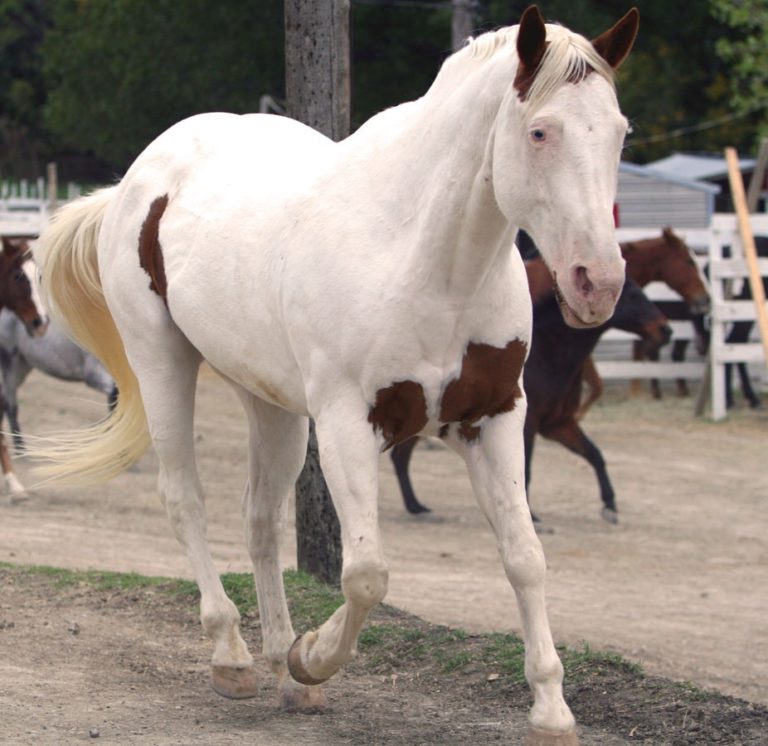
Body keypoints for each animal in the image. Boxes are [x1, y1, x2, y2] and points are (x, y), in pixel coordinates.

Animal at [30, 7, 639, 742]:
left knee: (260, 518)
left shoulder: (492, 419)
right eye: (540, 131)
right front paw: (314, 656)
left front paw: (551, 708)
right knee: (186, 501)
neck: (424, 258)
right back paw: (234, 655)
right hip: (162, 363)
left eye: (620, 132)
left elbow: (524, 556)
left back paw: (279, 663)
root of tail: (139, 179)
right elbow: (367, 574)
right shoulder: (350, 423)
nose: (597, 282)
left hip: (269, 402)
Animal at [392, 257, 671, 523]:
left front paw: (610, 506)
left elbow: (594, 454)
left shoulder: (558, 423)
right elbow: (525, 470)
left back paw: (416, 507)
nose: (665, 330)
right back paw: (417, 508)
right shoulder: (530, 423)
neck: (546, 355)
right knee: (400, 456)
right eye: (632, 296)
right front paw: (533, 515)